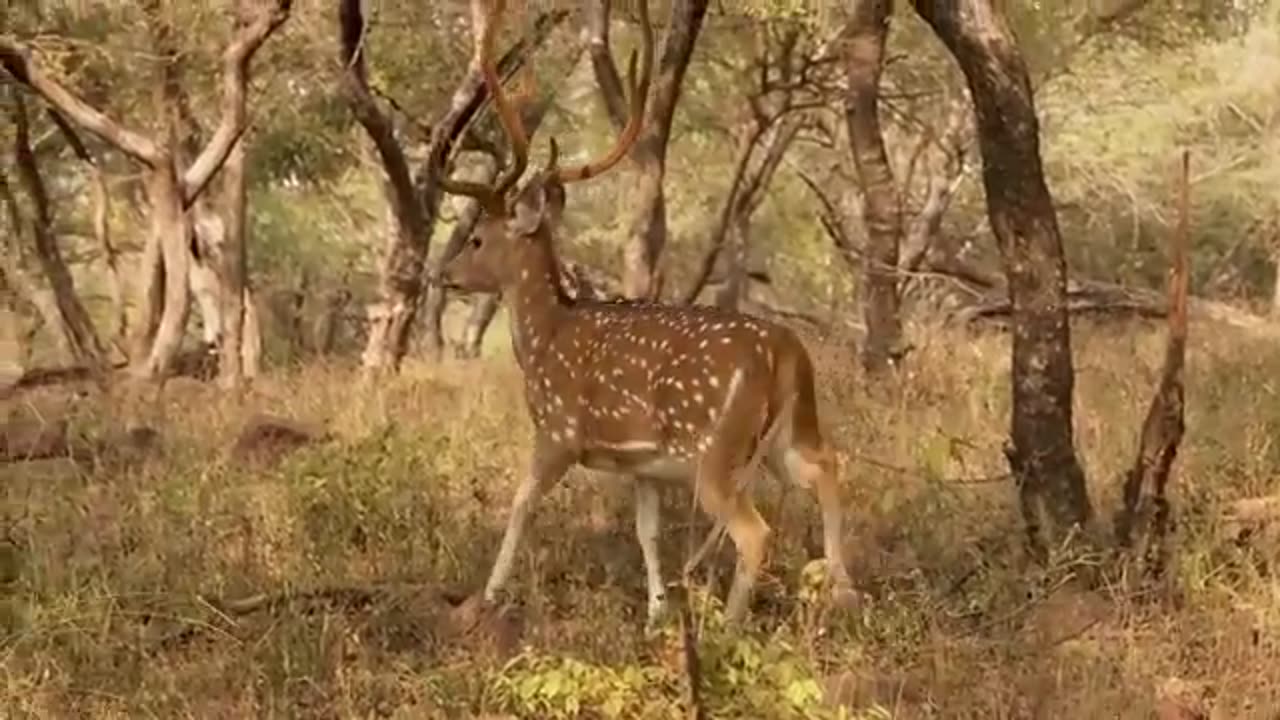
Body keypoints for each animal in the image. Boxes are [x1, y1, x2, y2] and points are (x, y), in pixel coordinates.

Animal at [442, 0, 860, 622]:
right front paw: (657, 611)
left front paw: (487, 596)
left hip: (714, 450)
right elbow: (647, 532)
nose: (443, 274)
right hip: (791, 430)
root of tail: (784, 351)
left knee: (754, 531)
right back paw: (844, 588)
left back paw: (730, 623)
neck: (543, 338)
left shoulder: (558, 431)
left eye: (475, 240)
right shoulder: (645, 467)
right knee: (828, 466)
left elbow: (520, 504)